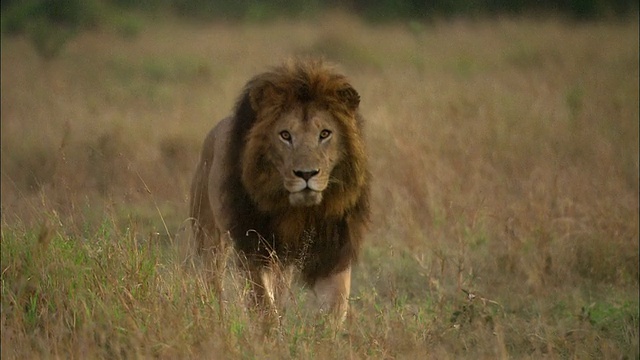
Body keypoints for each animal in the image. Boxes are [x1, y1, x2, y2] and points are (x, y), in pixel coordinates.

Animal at [189, 58, 370, 324]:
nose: (306, 174)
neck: (297, 211)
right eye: (285, 135)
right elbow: (264, 304)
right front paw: (272, 333)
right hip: (208, 236)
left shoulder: (333, 251)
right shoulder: (254, 248)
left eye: (325, 134)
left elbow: (335, 306)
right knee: (210, 279)